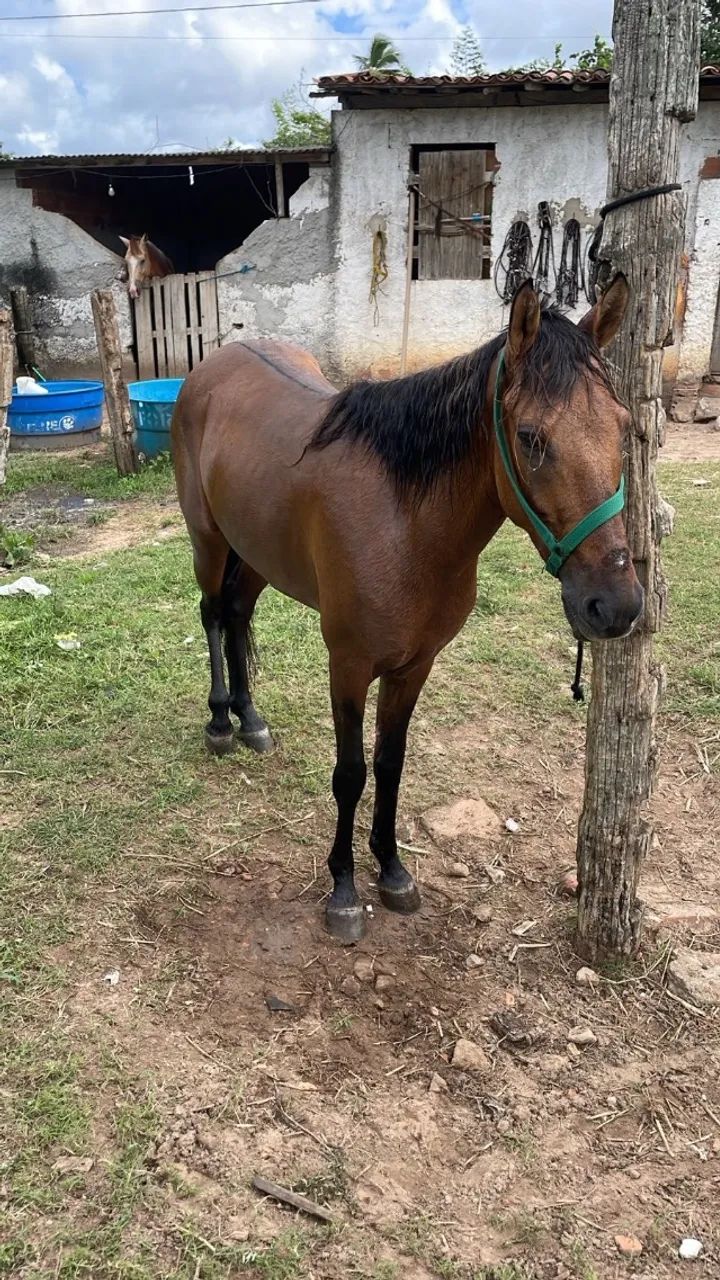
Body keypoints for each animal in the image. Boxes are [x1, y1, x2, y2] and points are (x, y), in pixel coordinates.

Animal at [171, 276, 644, 945]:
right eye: (531, 437)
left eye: (624, 428)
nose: (615, 604)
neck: (405, 522)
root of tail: (213, 365)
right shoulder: (347, 666)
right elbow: (351, 773)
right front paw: (344, 890)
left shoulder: (414, 666)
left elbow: (390, 765)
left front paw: (391, 870)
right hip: (209, 542)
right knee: (213, 614)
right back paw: (219, 721)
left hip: (257, 551)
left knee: (236, 616)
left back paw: (250, 718)